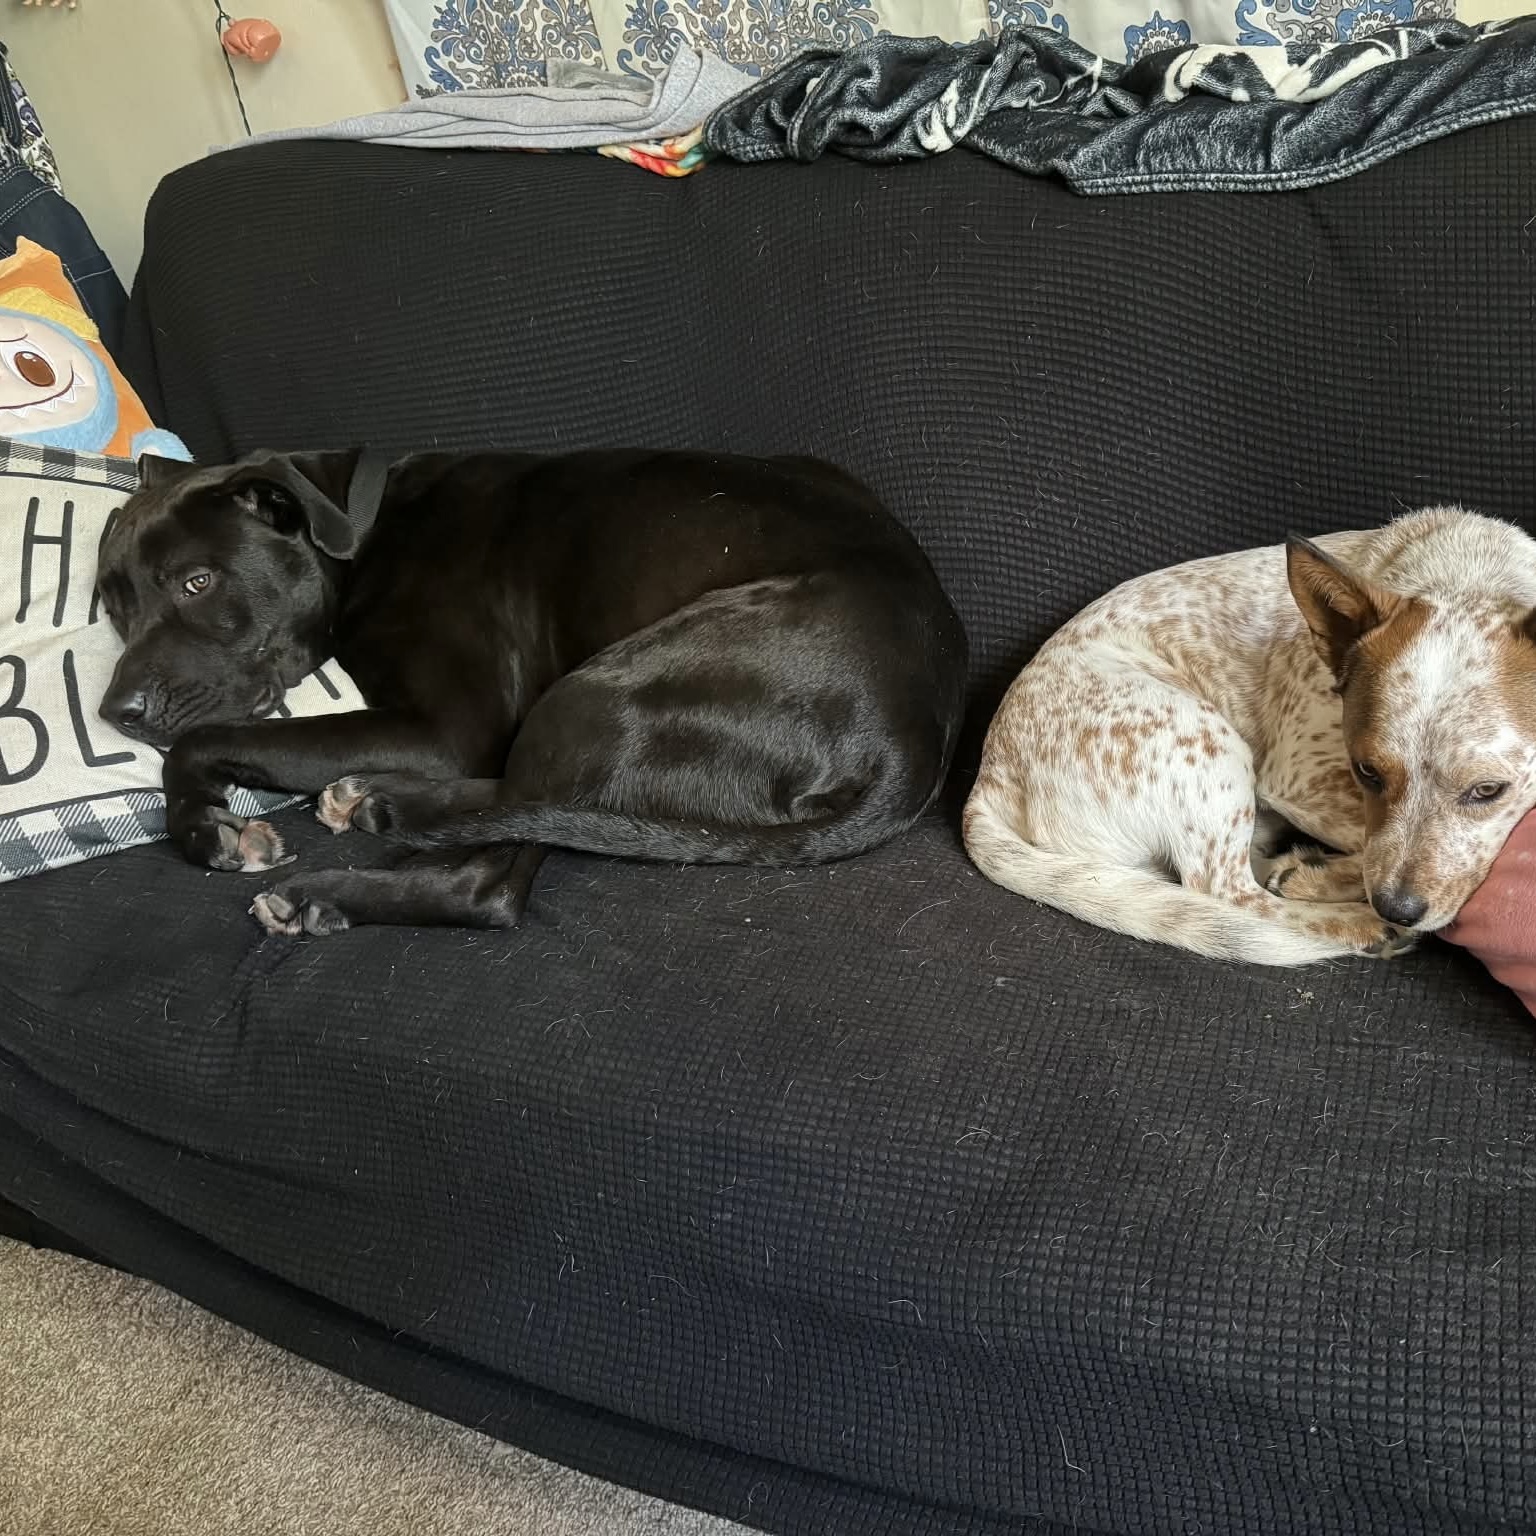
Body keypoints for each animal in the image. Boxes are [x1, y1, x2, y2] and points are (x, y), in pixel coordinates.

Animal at [96, 448, 967, 936]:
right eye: (112, 602)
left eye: (197, 582)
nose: (116, 714)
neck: (363, 530)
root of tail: (913, 736)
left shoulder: (443, 728)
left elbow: (204, 740)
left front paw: (200, 827)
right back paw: (374, 800)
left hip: (598, 695)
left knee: (493, 873)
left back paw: (333, 875)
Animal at [963, 508, 1536, 966]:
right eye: (1367, 772)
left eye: (1488, 790)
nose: (1397, 908)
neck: (1467, 575)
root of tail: (989, 778)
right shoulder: (1297, 778)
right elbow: (1368, 845)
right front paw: (1332, 883)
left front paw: (1317, 872)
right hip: (1209, 748)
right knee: (1226, 891)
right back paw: (1351, 920)